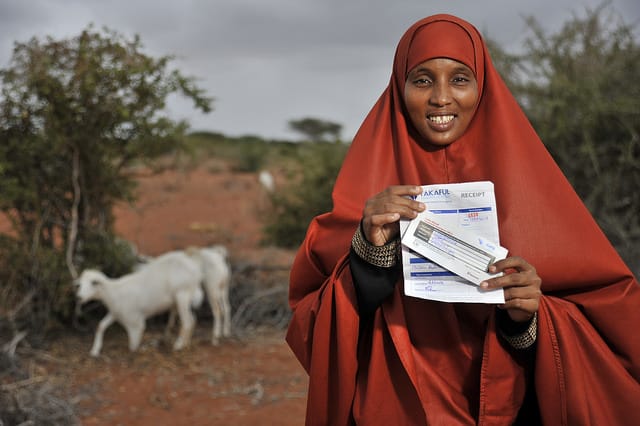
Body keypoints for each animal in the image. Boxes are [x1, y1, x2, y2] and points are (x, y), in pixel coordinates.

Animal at [74, 250, 205, 356]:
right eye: (80, 284)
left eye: (94, 283)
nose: (79, 297)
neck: (113, 292)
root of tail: (195, 267)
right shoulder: (114, 313)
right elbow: (100, 326)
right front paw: (95, 350)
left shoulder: (135, 322)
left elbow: (133, 346)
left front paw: (140, 351)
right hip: (181, 299)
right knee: (193, 320)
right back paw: (186, 343)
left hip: (182, 294)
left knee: (187, 321)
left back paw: (178, 345)